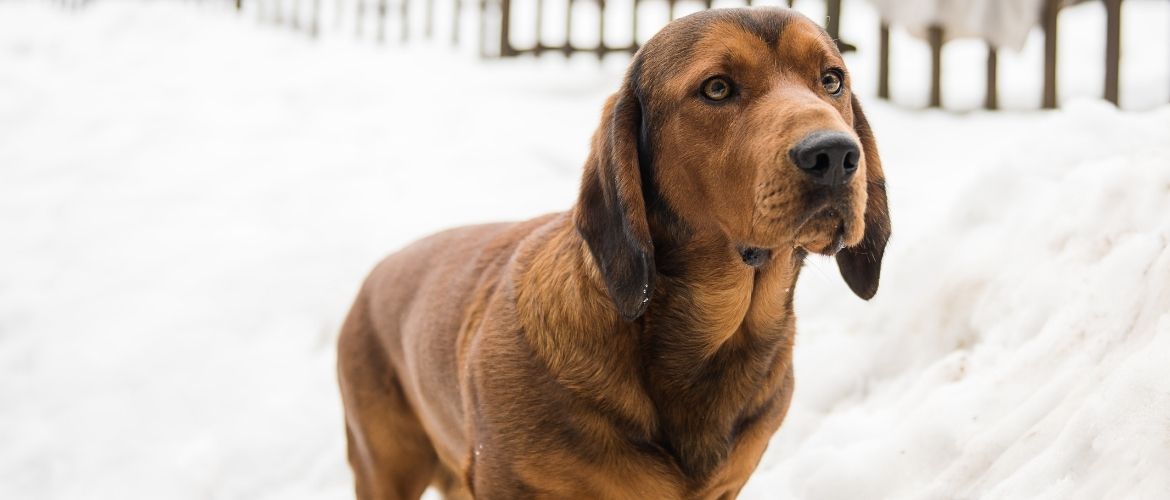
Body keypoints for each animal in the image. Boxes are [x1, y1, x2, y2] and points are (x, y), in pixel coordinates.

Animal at [341, 5, 889, 498]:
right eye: (717, 88)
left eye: (832, 80)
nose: (835, 155)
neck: (712, 341)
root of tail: (380, 270)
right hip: (384, 468)